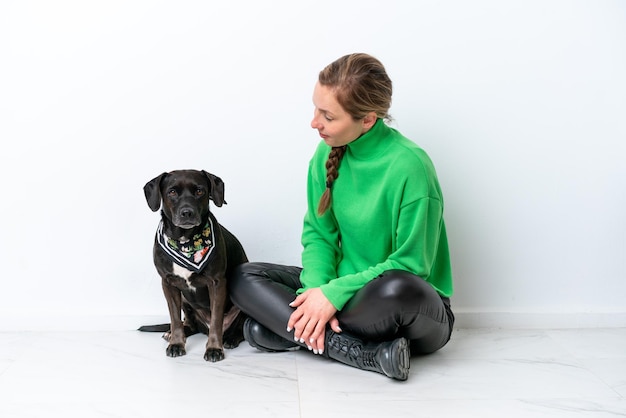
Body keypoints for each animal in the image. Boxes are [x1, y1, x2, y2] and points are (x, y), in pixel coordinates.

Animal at [140, 170, 247, 362]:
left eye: (199, 191)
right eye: (172, 192)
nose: (187, 212)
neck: (185, 241)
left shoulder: (217, 284)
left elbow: (216, 321)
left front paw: (214, 348)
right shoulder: (168, 283)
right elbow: (175, 319)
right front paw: (176, 343)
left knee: (238, 328)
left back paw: (231, 339)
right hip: (184, 299)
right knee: (189, 324)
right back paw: (174, 333)